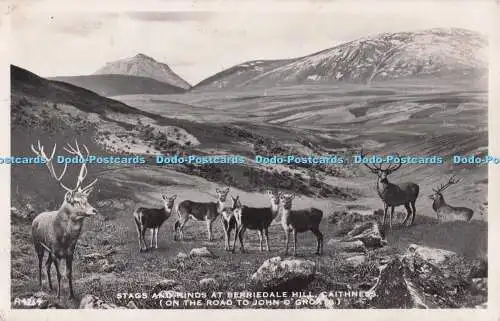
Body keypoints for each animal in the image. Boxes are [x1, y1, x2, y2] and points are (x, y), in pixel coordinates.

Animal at [31, 139, 98, 298]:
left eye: (87, 199)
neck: (64, 239)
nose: (94, 210)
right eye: (77, 201)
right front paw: (59, 296)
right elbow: (60, 274)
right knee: (40, 264)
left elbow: (69, 273)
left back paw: (50, 286)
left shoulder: (69, 253)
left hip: (49, 251)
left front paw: (71, 295)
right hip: (38, 245)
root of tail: (36, 217)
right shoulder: (55, 251)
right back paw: (41, 285)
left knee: (46, 265)